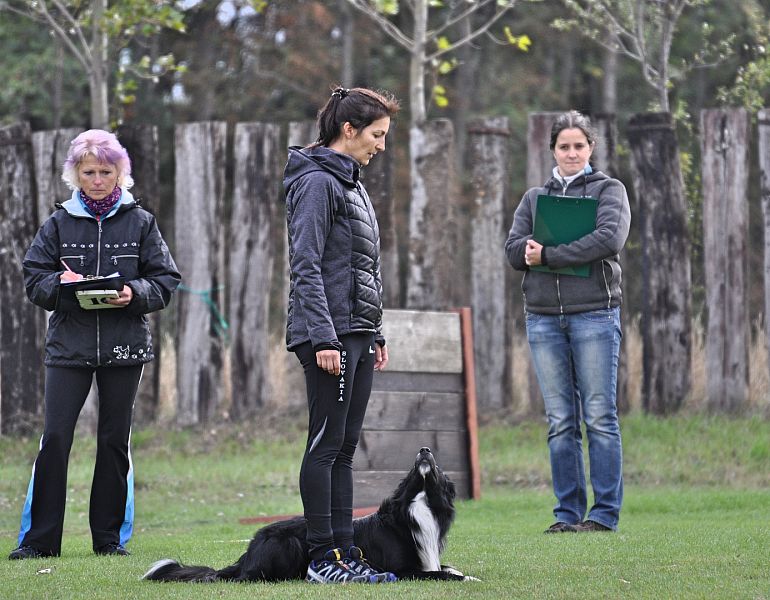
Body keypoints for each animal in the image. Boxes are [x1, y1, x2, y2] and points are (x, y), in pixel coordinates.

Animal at [141, 448, 472, 584]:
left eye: (439, 471)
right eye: (414, 470)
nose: (425, 449)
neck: (418, 505)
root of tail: (248, 551)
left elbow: (447, 567)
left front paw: (466, 573)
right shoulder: (402, 569)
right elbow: (441, 573)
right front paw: (464, 577)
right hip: (288, 545)